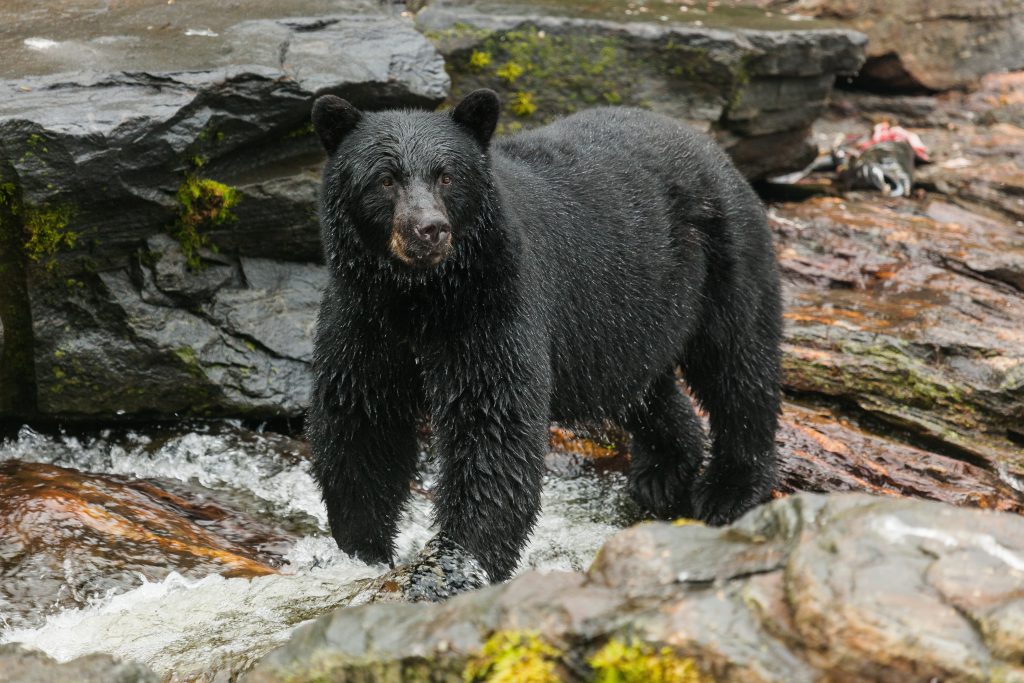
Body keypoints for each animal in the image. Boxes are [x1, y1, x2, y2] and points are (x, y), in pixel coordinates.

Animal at [307, 89, 778, 581]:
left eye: (447, 176)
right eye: (385, 179)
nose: (429, 229)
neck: (419, 296)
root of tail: (709, 145)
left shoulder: (495, 303)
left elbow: (493, 427)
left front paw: (456, 564)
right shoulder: (363, 317)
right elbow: (362, 420)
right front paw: (360, 551)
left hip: (724, 256)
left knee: (738, 364)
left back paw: (731, 488)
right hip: (627, 322)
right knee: (644, 389)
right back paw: (663, 471)